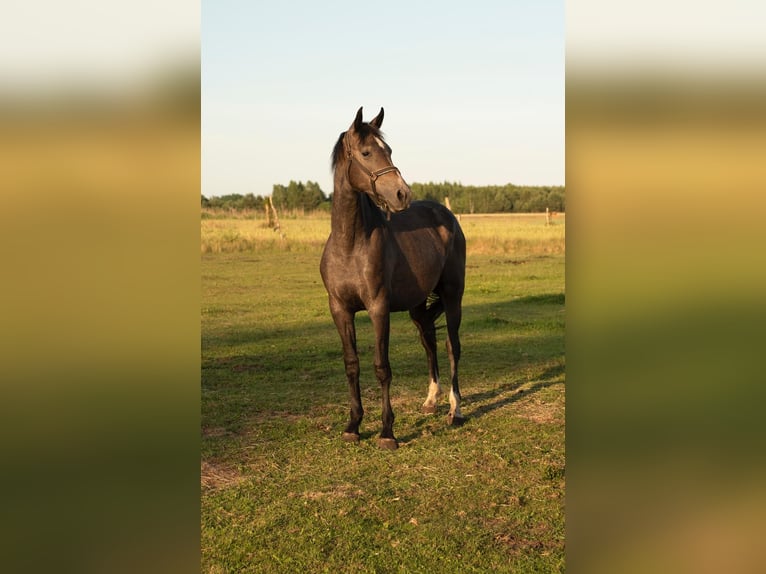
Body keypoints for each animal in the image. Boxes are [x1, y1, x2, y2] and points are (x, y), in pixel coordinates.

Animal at [319, 107, 466, 450]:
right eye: (366, 152)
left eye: (388, 150)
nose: (402, 194)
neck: (350, 244)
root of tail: (447, 216)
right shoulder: (340, 310)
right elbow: (352, 365)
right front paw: (353, 425)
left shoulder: (378, 308)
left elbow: (382, 367)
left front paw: (387, 432)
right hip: (417, 306)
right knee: (430, 342)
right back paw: (431, 401)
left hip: (453, 296)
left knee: (452, 345)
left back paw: (454, 409)